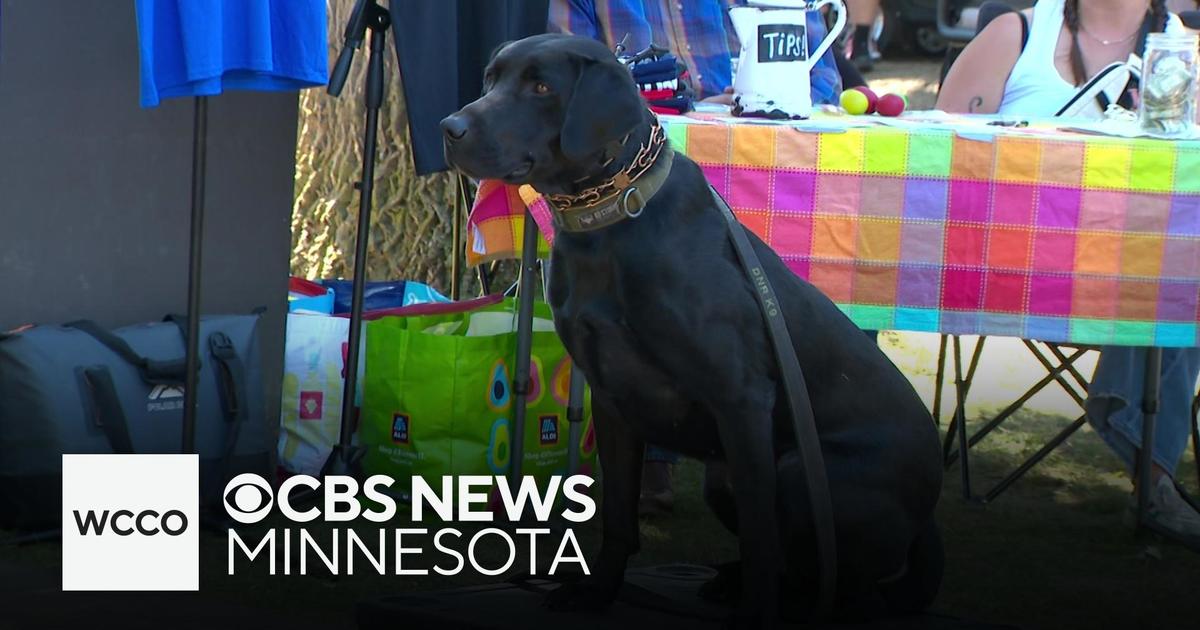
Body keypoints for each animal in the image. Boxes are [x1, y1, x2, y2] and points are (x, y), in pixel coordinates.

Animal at [444, 33, 945, 624]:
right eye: (491, 79)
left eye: (542, 86)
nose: (449, 128)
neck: (609, 220)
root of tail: (927, 515)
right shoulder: (611, 400)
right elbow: (618, 518)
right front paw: (598, 593)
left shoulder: (741, 399)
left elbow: (761, 537)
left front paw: (756, 613)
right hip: (721, 478)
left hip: (798, 472)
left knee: (846, 587)